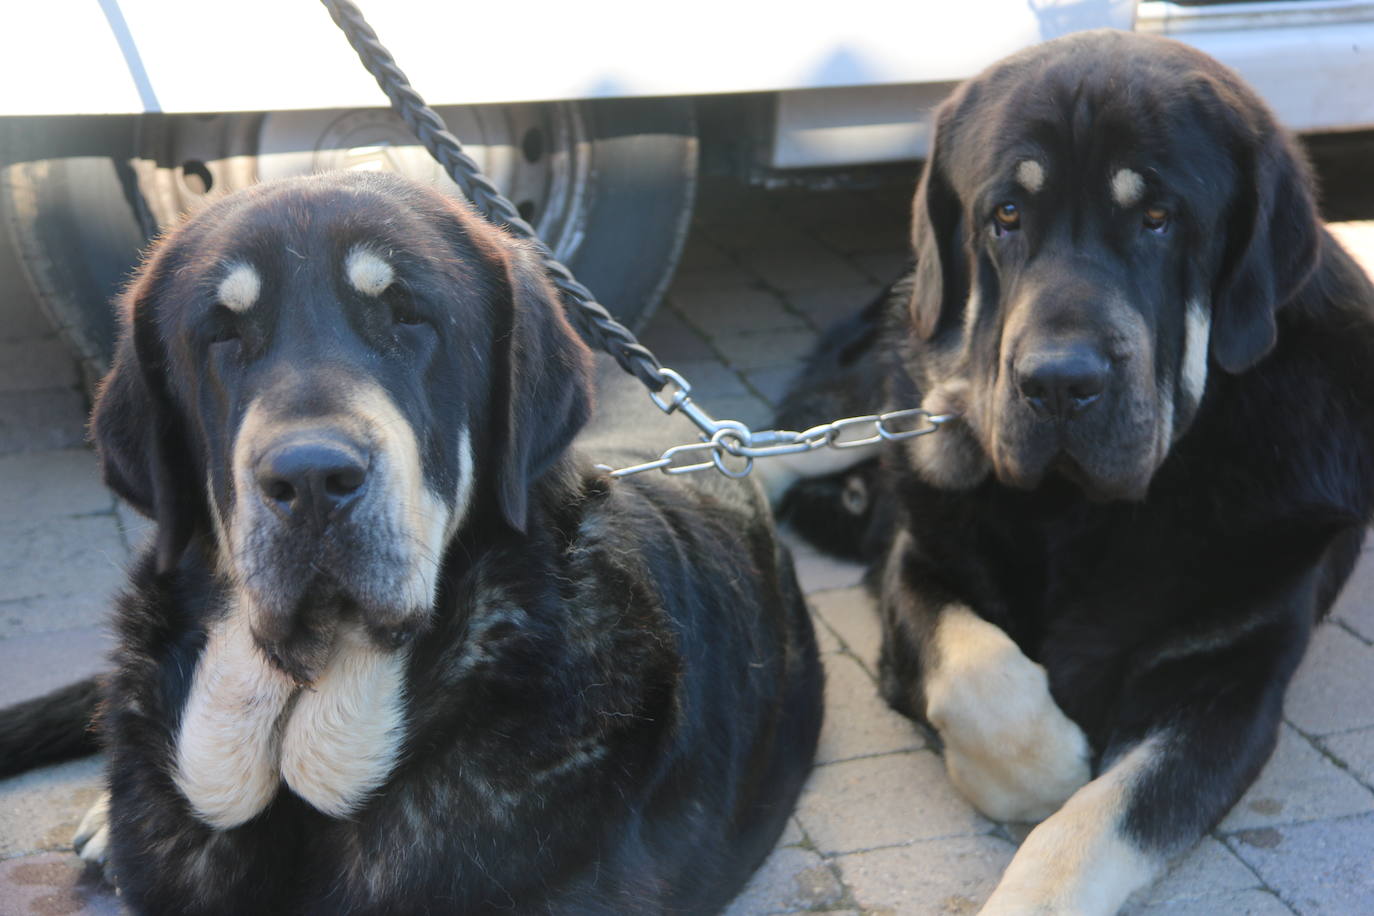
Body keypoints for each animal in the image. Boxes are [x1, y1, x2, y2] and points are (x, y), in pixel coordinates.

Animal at [774, 26, 1374, 911]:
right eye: (1006, 215)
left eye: (1159, 219)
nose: (1059, 382)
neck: (1078, 509)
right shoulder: (918, 561)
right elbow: (980, 676)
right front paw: (1052, 765)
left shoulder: (1228, 680)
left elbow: (1098, 822)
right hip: (866, 406)